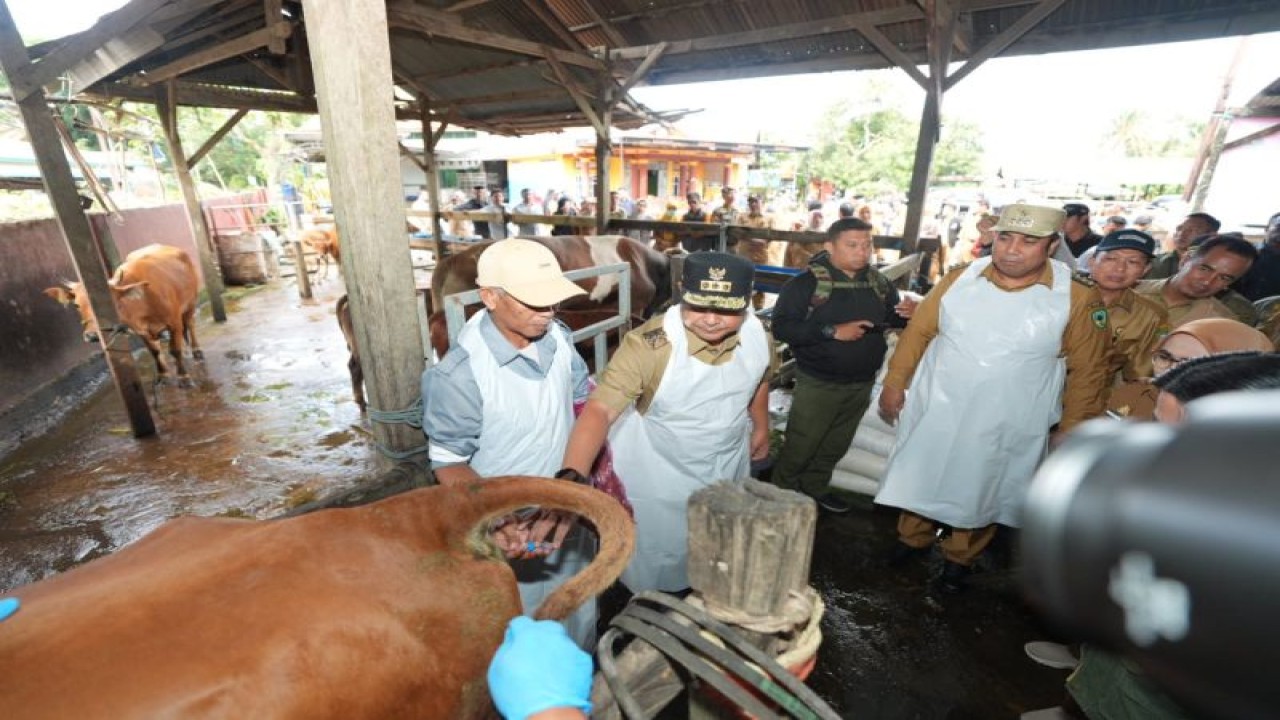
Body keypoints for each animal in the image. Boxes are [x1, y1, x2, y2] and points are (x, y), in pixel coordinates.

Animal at [44, 242, 202, 386]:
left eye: (111, 303)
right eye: (77, 305)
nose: (92, 335)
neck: (142, 301)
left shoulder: (174, 322)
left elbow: (175, 350)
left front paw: (184, 378)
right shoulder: (140, 330)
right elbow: (154, 351)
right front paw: (163, 375)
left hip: (191, 302)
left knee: (190, 324)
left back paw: (196, 351)